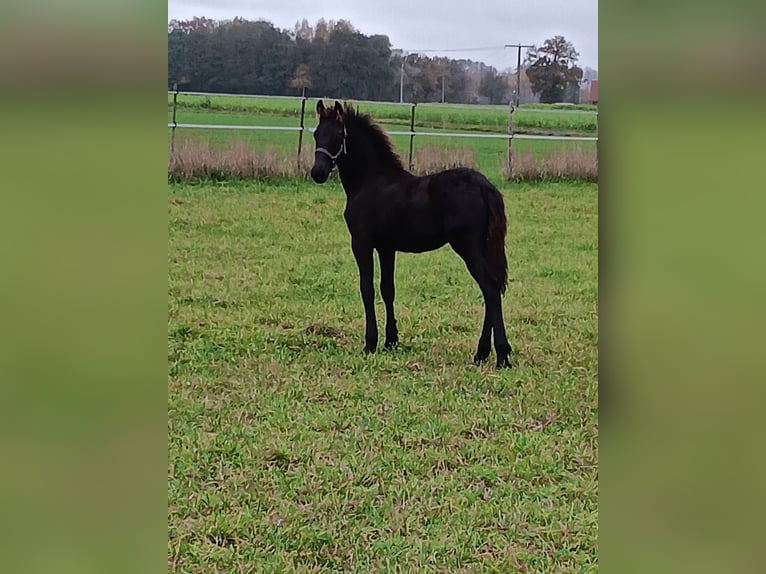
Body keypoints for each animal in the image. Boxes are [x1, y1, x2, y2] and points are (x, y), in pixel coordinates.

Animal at [308, 99, 512, 368]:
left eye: (337, 136)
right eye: (316, 134)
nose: (317, 173)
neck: (371, 182)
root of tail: (484, 186)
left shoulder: (361, 243)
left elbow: (367, 289)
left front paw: (370, 343)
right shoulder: (386, 247)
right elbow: (387, 289)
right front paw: (391, 340)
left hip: (468, 246)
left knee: (489, 288)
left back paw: (501, 355)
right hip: (484, 246)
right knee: (494, 287)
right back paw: (481, 353)